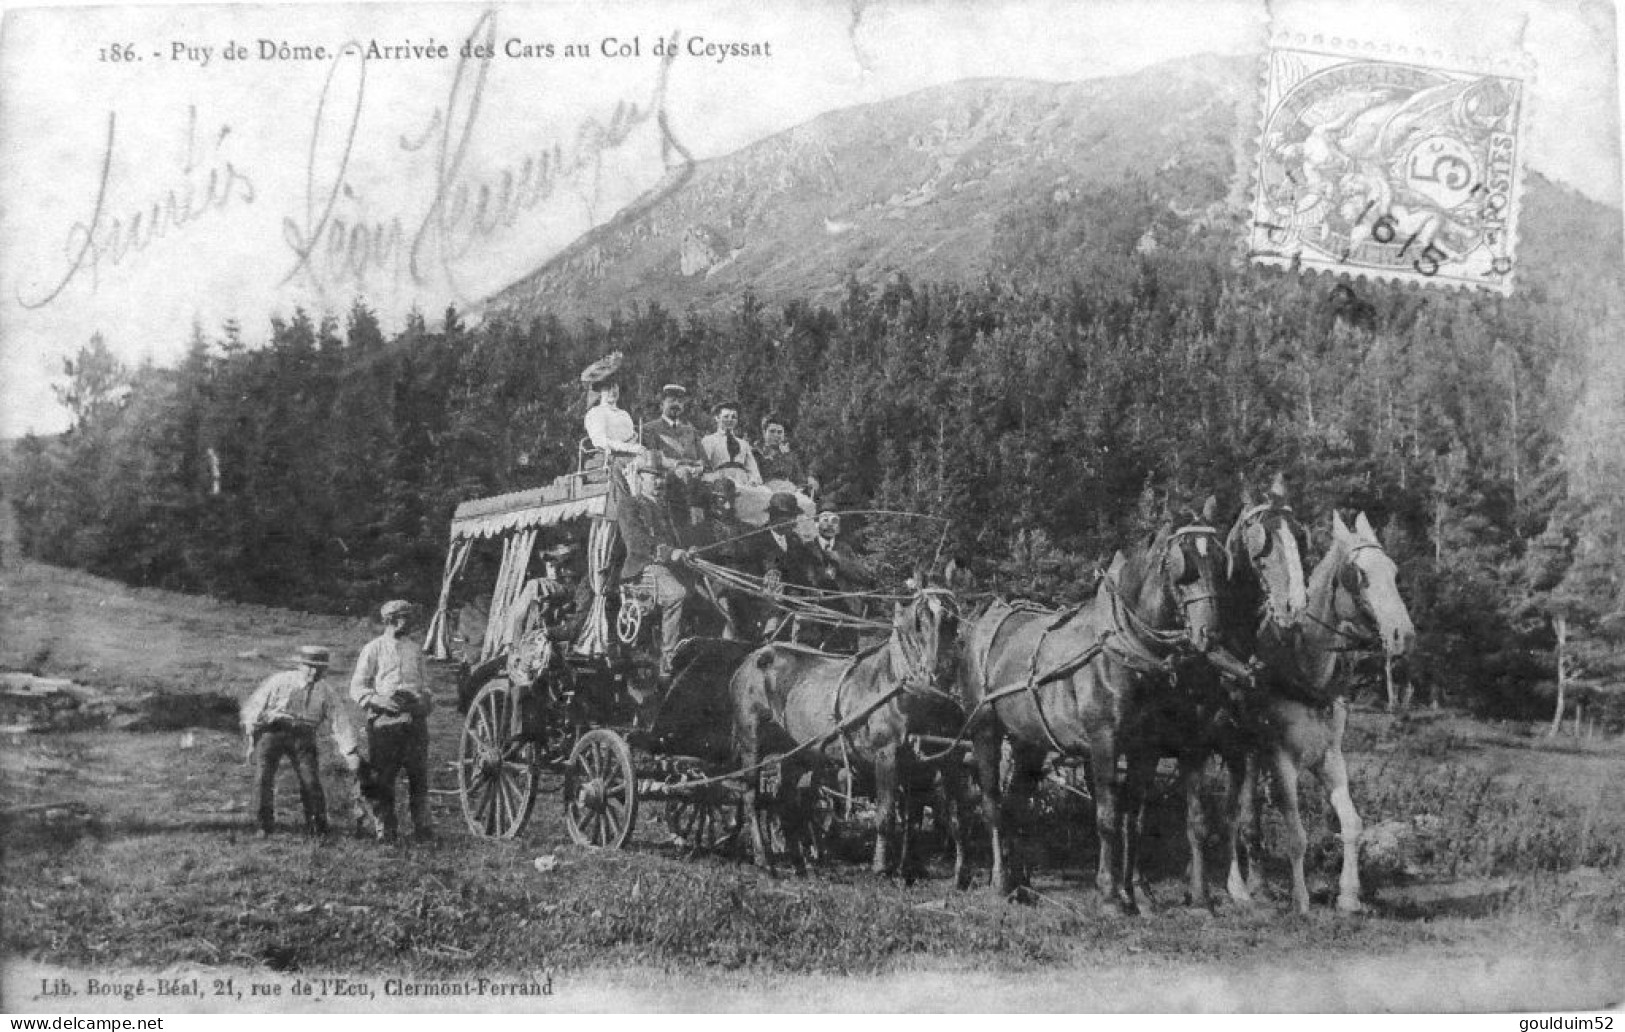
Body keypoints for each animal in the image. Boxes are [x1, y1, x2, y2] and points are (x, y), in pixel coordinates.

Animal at [737, 588, 962, 877]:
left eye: (951, 621)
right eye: (919, 622)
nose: (937, 673)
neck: (896, 683)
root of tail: (753, 658)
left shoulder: (918, 763)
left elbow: (913, 818)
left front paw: (909, 868)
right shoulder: (886, 754)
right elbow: (886, 815)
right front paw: (880, 867)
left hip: (797, 753)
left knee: (787, 803)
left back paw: (799, 864)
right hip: (750, 742)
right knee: (752, 797)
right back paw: (764, 860)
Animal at [949, 513, 1228, 910]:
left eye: (1219, 562)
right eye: (1183, 566)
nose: (1211, 634)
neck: (1124, 647)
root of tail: (984, 619)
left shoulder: (1145, 749)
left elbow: (1133, 818)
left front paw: (1135, 894)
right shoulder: (1103, 743)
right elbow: (1108, 817)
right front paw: (1110, 896)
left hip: (1028, 741)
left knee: (1017, 802)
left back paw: (1022, 885)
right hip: (985, 730)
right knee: (992, 803)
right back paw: (1001, 882)